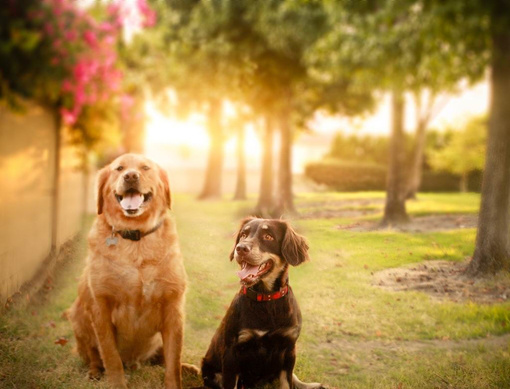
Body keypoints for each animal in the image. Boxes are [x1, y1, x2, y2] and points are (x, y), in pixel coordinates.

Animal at [201, 217, 320, 386]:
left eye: (268, 236)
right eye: (243, 235)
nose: (240, 248)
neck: (266, 299)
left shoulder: (289, 349)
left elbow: (287, 382)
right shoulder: (232, 352)